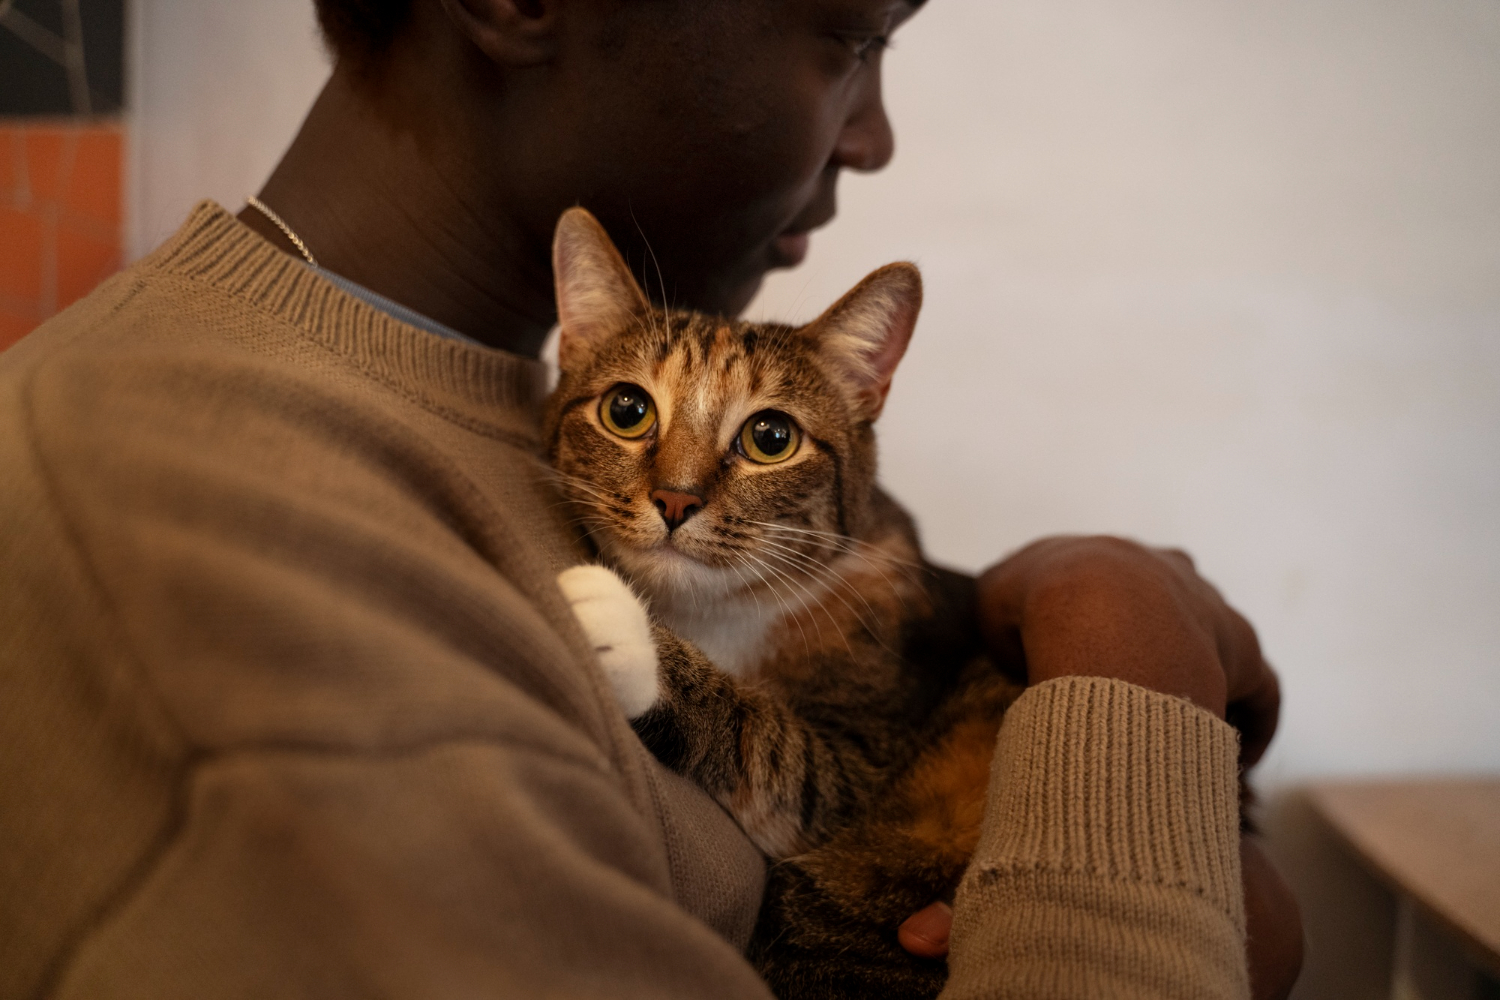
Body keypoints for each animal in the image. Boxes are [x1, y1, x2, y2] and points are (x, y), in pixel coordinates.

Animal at [540, 206, 1020, 995]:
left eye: (771, 437)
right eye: (626, 409)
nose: (675, 499)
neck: (717, 617)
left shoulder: (864, 767)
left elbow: (767, 740)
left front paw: (621, 630)